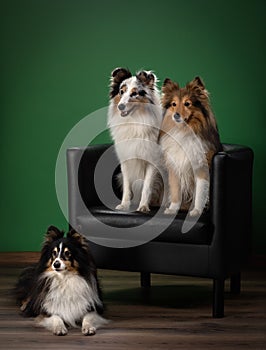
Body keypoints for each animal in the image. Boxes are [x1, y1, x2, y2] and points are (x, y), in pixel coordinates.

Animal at [107, 67, 162, 212]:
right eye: (121, 92)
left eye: (135, 93)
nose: (120, 106)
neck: (135, 121)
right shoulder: (126, 160)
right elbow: (127, 186)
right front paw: (124, 205)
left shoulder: (152, 161)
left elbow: (147, 186)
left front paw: (143, 206)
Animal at [159, 76, 221, 216]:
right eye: (173, 104)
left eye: (187, 103)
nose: (176, 115)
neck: (185, 131)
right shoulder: (174, 166)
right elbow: (175, 190)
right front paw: (173, 209)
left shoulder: (202, 167)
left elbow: (200, 192)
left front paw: (196, 211)